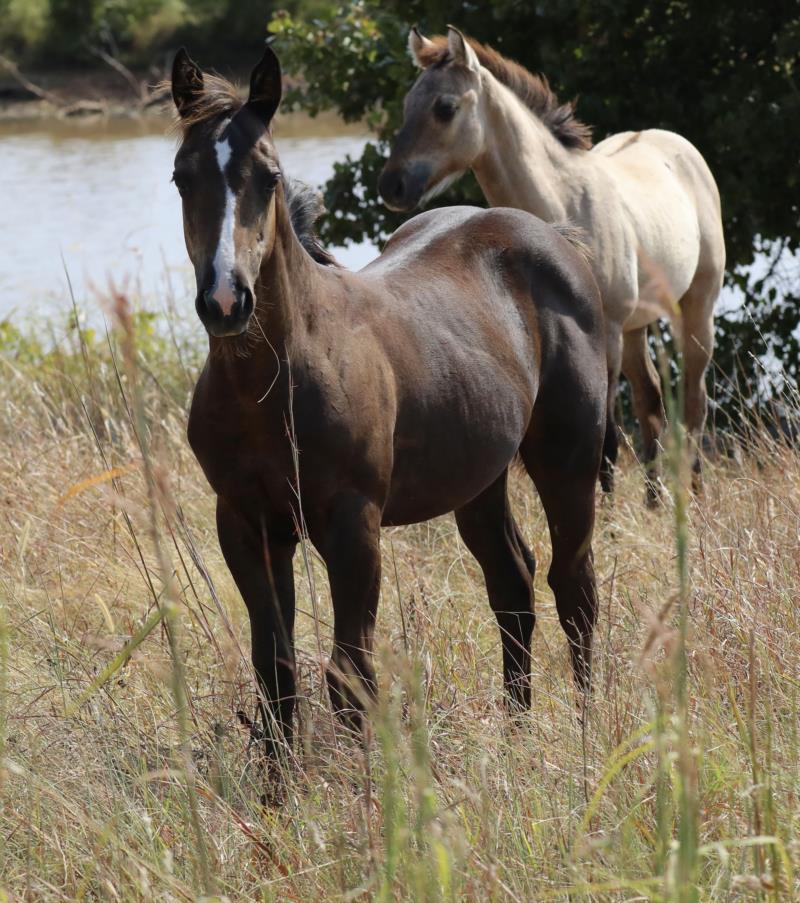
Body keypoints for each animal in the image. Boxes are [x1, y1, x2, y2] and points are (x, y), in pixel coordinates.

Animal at [170, 45, 607, 760]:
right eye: (182, 178)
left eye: (268, 176)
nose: (227, 301)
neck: (271, 390)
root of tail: (555, 236)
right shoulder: (246, 522)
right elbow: (276, 671)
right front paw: (282, 786)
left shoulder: (354, 523)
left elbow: (349, 673)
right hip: (478, 476)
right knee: (512, 584)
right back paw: (516, 735)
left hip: (568, 460)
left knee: (574, 587)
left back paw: (591, 731)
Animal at [379, 26, 726, 504]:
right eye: (408, 103)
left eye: (444, 107)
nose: (391, 185)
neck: (563, 205)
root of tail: (673, 142)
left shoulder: (605, 335)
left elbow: (606, 439)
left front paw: (609, 518)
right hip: (637, 326)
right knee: (653, 404)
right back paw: (656, 503)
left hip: (694, 308)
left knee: (693, 402)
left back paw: (694, 494)